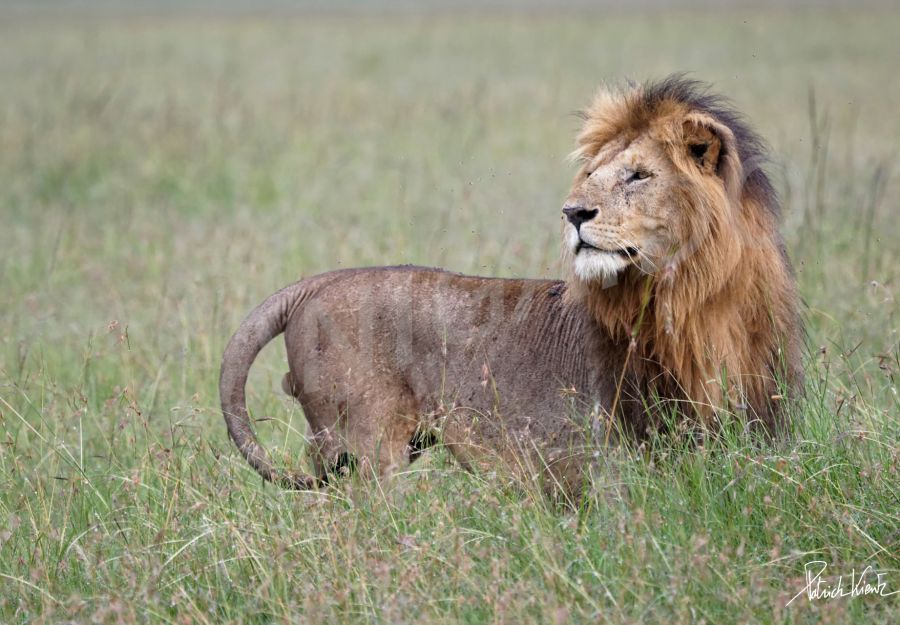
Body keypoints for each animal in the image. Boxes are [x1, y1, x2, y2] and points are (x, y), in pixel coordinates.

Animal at [218, 74, 800, 492]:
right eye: (591, 176)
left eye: (639, 175)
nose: (573, 212)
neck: (693, 301)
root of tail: (316, 282)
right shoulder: (607, 458)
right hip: (366, 448)